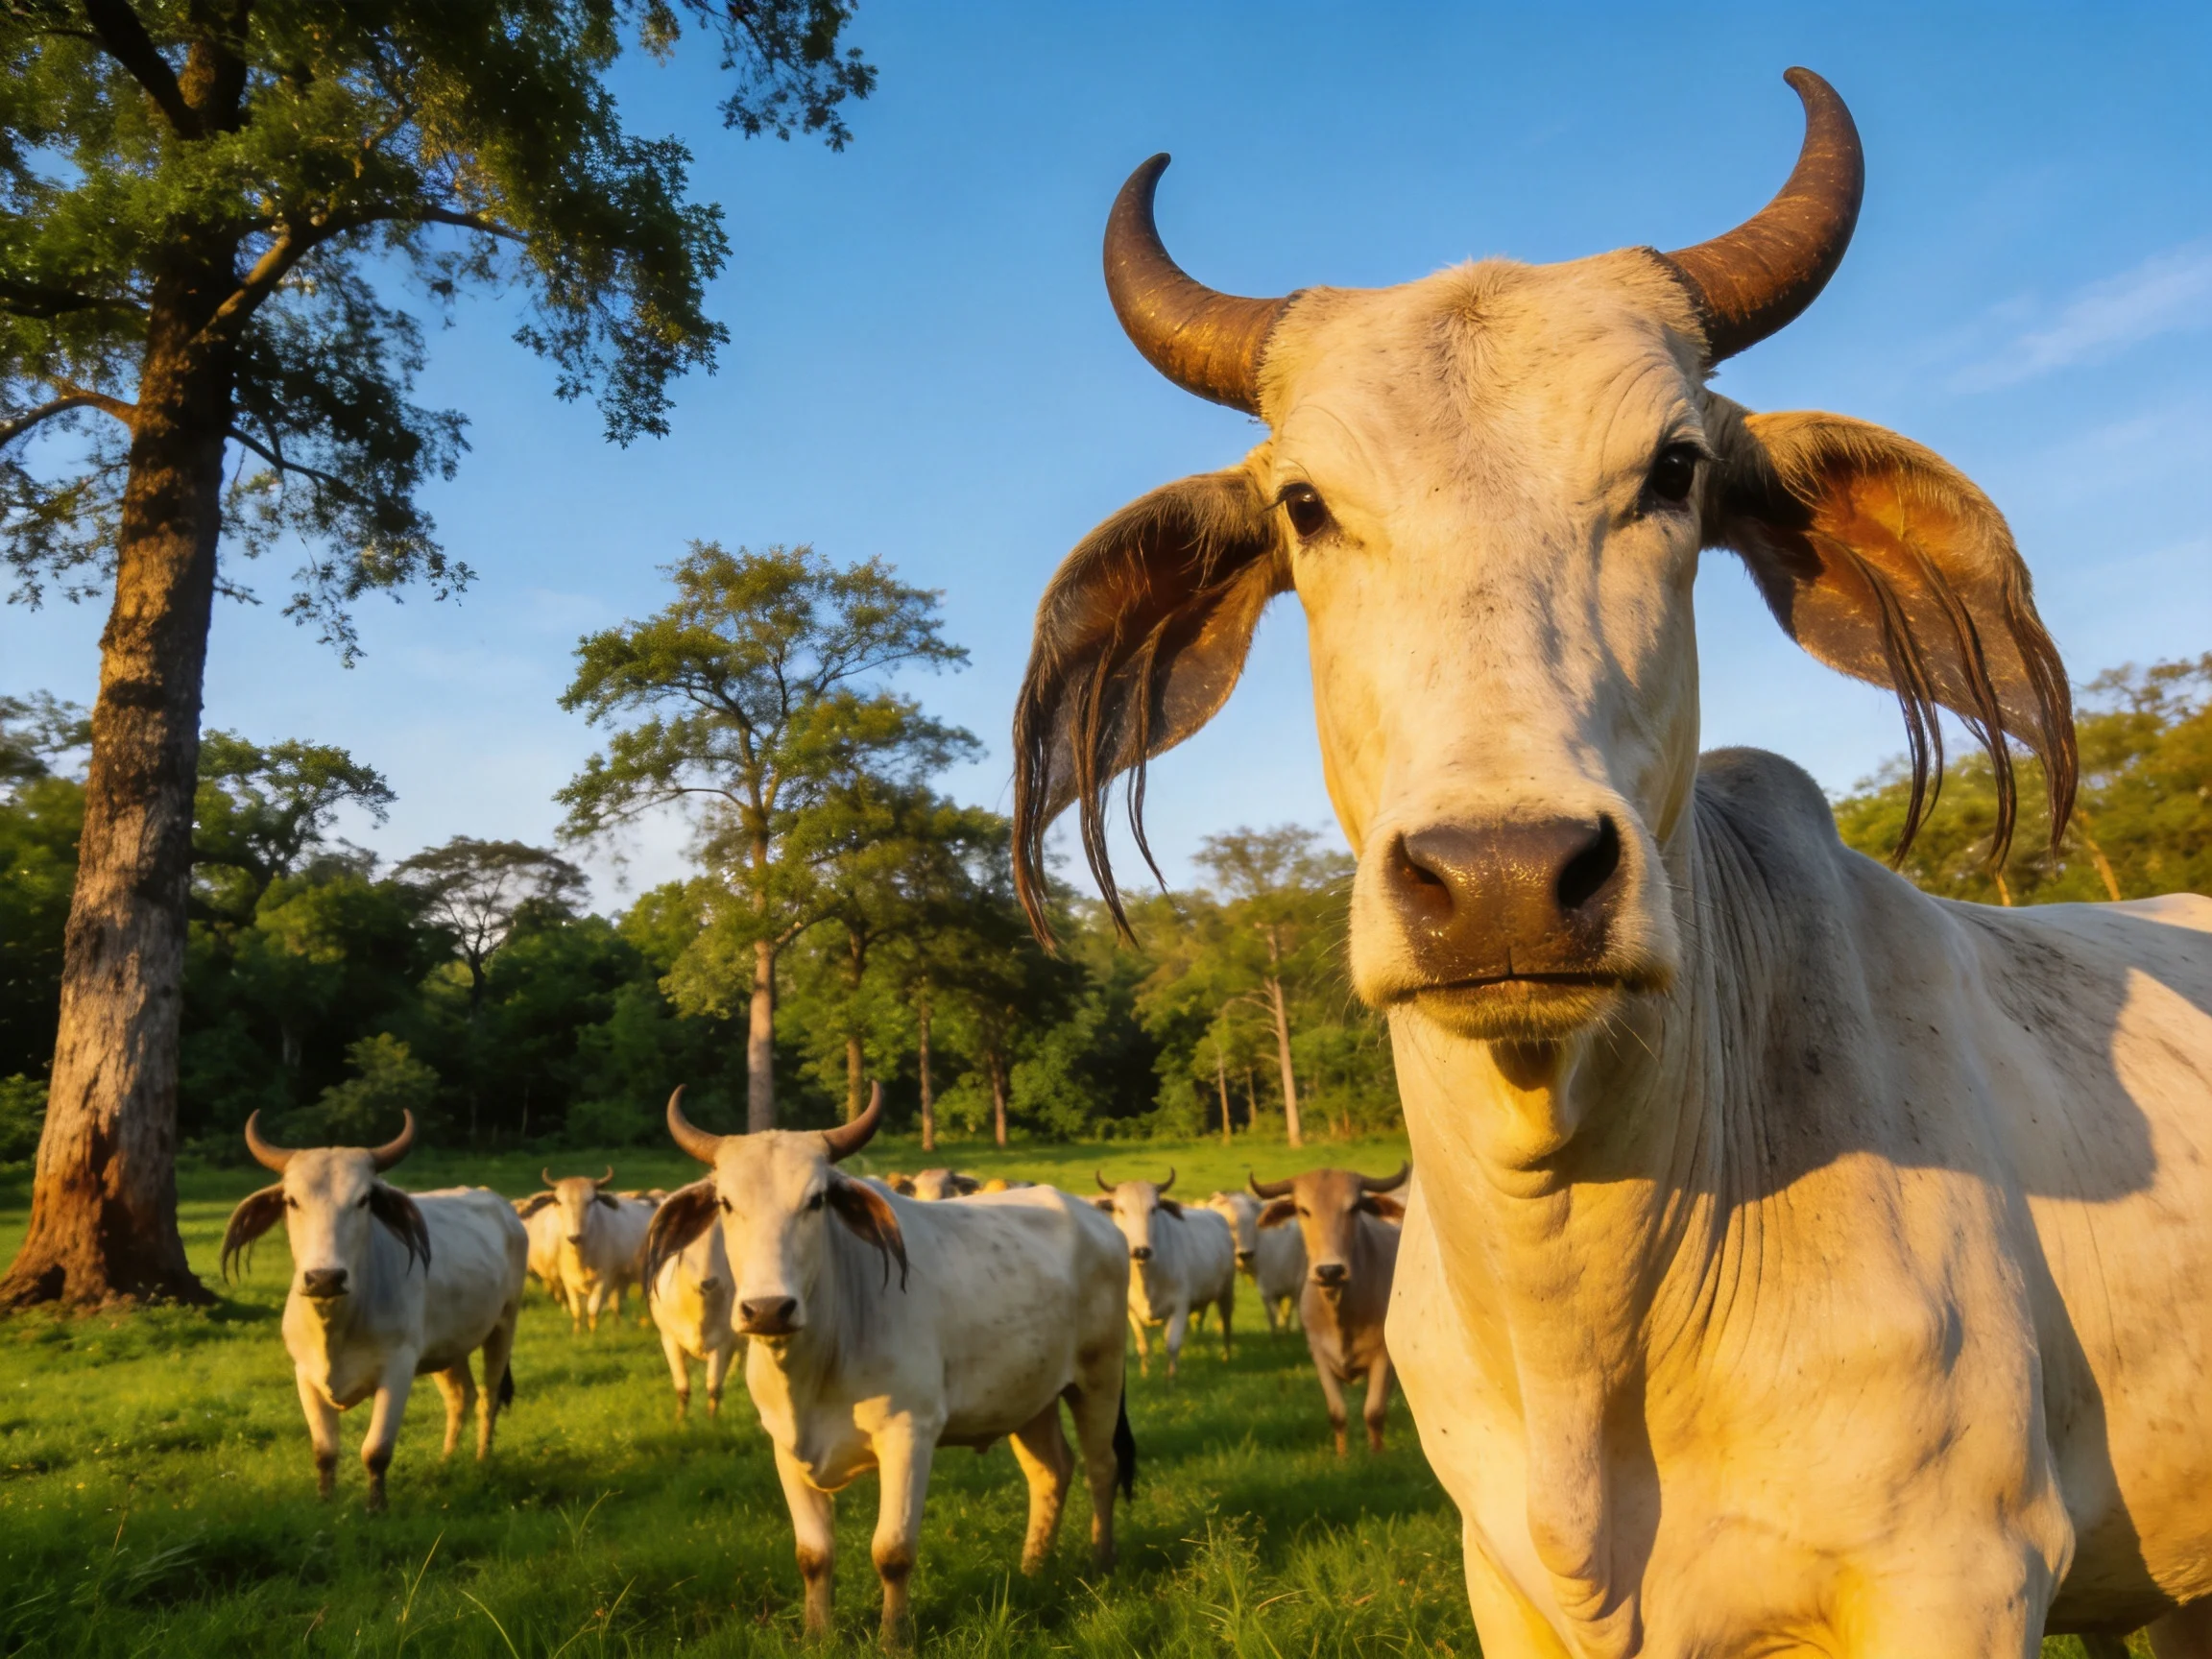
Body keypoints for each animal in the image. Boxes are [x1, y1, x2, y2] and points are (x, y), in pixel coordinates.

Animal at [220, 1112, 526, 1512]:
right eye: (291, 1200)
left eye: (364, 1199)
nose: (324, 1277)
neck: (335, 1325)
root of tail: (500, 1203)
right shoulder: (305, 1373)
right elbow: (325, 1451)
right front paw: (325, 1502)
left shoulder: (398, 1368)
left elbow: (376, 1450)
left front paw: (376, 1507)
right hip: (448, 1348)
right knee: (462, 1397)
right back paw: (446, 1461)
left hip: (504, 1324)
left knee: (489, 1397)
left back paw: (481, 1460)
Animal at [518, 1168, 655, 1332]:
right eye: (559, 1201)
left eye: (591, 1200)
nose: (574, 1237)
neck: (581, 1258)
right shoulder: (568, 1281)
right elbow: (577, 1310)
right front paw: (577, 1332)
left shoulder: (603, 1280)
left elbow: (593, 1309)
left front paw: (593, 1332)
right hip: (622, 1278)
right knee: (617, 1304)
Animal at [648, 1214, 740, 1422]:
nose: (708, 1281)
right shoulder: (669, 1339)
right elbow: (683, 1388)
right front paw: (680, 1421)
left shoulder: (723, 1342)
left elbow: (714, 1388)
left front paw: (712, 1422)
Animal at [1091, 1170, 1235, 1379]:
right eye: (1120, 1209)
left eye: (1154, 1209)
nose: (1141, 1251)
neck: (1146, 1279)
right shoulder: (1132, 1311)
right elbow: (1143, 1345)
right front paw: (1145, 1373)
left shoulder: (1180, 1305)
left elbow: (1172, 1345)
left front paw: (1171, 1378)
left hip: (1226, 1290)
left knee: (1226, 1323)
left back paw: (1226, 1356)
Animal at [1249, 1166, 1407, 1455]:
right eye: (1303, 1209)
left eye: (1354, 1207)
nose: (1330, 1271)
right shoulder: (1319, 1355)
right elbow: (1338, 1413)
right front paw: (1343, 1458)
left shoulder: (1383, 1358)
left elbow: (1374, 1412)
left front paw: (1376, 1456)